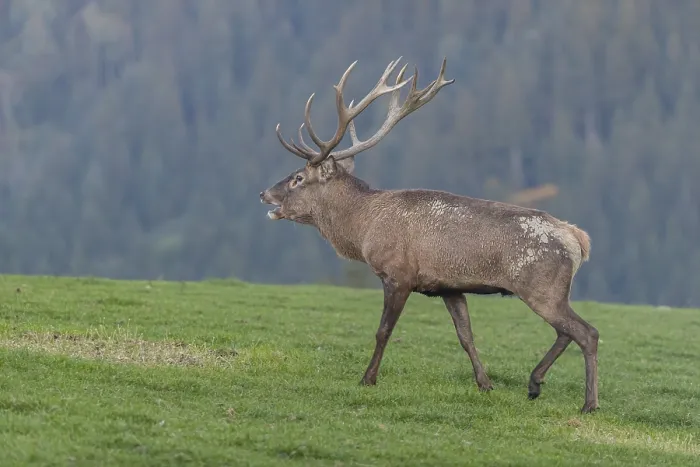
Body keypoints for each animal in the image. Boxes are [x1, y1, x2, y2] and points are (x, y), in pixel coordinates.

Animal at [260, 57, 599, 413]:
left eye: (298, 178)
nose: (264, 194)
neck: (362, 228)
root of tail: (578, 239)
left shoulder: (398, 274)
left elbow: (383, 331)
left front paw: (367, 379)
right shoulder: (449, 287)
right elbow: (466, 336)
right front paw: (485, 384)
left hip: (542, 286)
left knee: (586, 332)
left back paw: (588, 403)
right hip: (550, 291)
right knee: (566, 333)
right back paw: (534, 384)